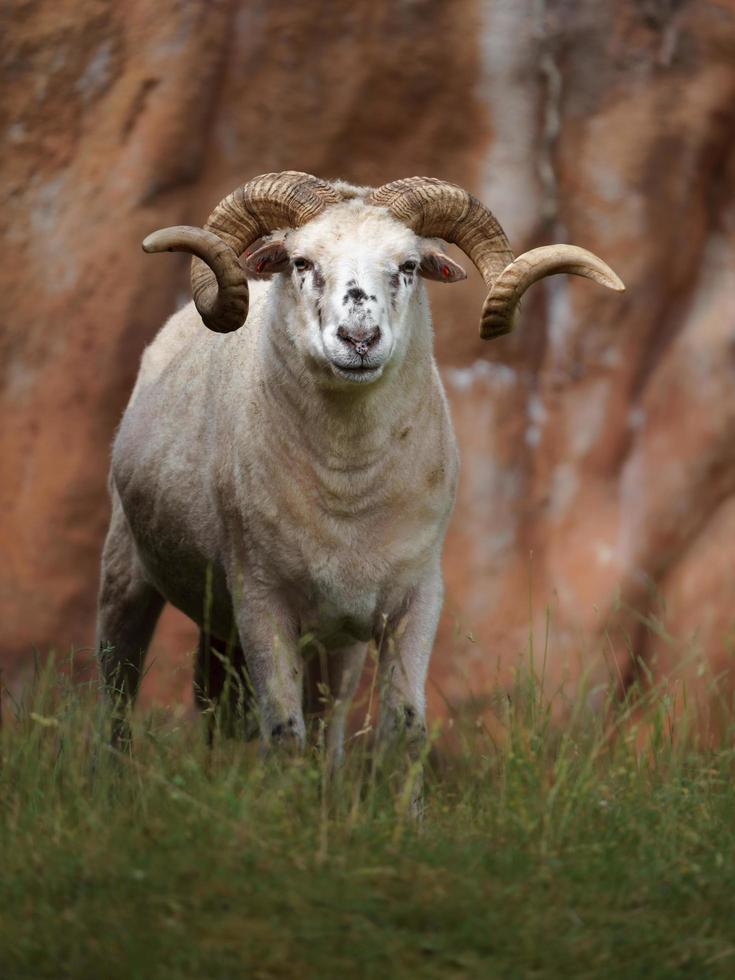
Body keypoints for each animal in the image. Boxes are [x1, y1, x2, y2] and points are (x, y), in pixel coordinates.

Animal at [96, 170, 628, 764]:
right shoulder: (261, 601)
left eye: (409, 265)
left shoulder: (415, 600)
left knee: (291, 722)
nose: (359, 339)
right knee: (118, 694)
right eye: (301, 262)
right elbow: (284, 735)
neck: (348, 492)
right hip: (126, 573)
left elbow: (405, 730)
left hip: (318, 638)